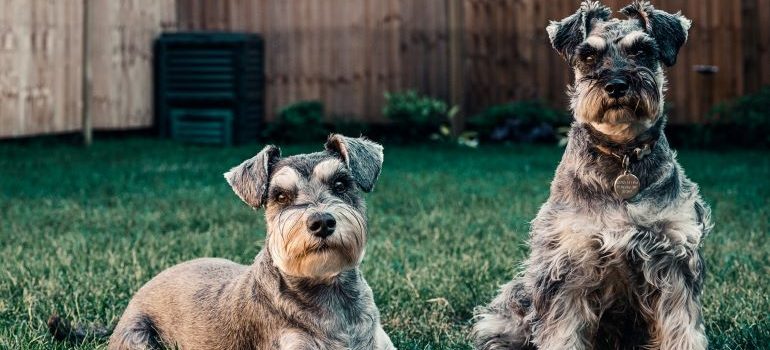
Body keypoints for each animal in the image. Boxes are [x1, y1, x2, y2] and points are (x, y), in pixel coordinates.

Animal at [472, 1, 712, 348]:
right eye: (588, 56)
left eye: (642, 51)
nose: (616, 86)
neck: (622, 155)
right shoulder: (569, 261)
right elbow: (563, 329)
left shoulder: (674, 256)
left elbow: (682, 326)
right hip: (518, 298)